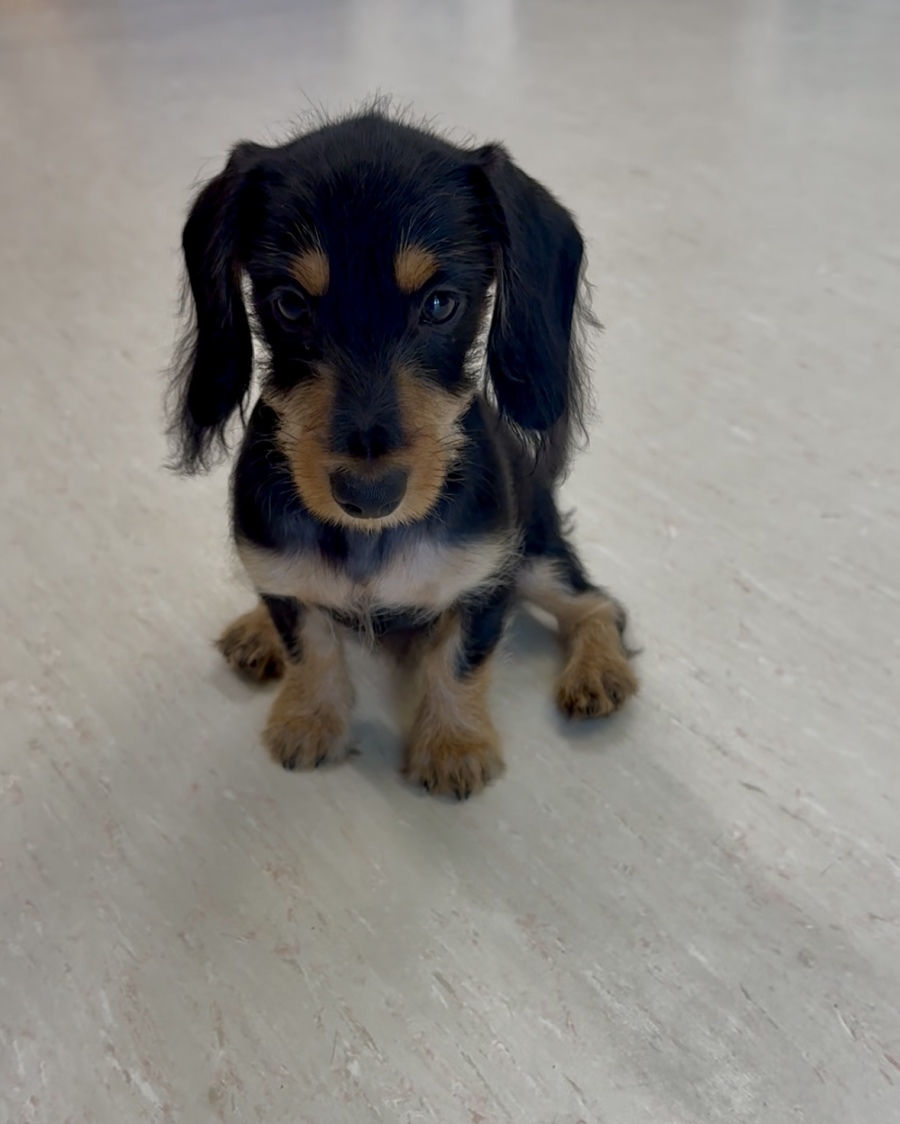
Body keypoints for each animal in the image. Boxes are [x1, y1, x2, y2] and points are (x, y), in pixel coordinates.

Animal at [167, 108, 638, 799]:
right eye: (289, 304)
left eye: (440, 304)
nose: (368, 497)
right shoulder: (280, 571)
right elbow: (310, 639)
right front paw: (308, 720)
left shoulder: (487, 579)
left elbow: (459, 659)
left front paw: (453, 745)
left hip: (535, 554)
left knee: (595, 603)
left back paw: (598, 670)